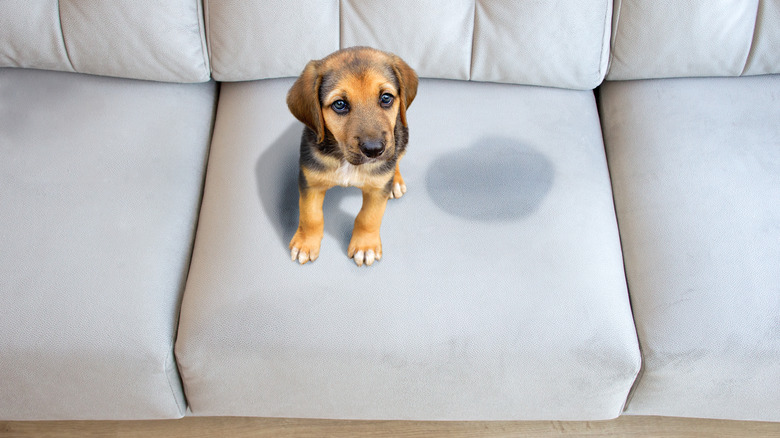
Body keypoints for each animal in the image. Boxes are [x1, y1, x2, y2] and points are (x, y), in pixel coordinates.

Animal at [286, 48, 418, 266]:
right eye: (340, 104)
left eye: (386, 98)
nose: (374, 150)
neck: (346, 161)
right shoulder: (310, 181)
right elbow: (310, 215)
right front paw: (306, 243)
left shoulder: (377, 189)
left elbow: (368, 217)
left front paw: (365, 246)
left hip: (402, 135)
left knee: (397, 157)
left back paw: (396, 181)